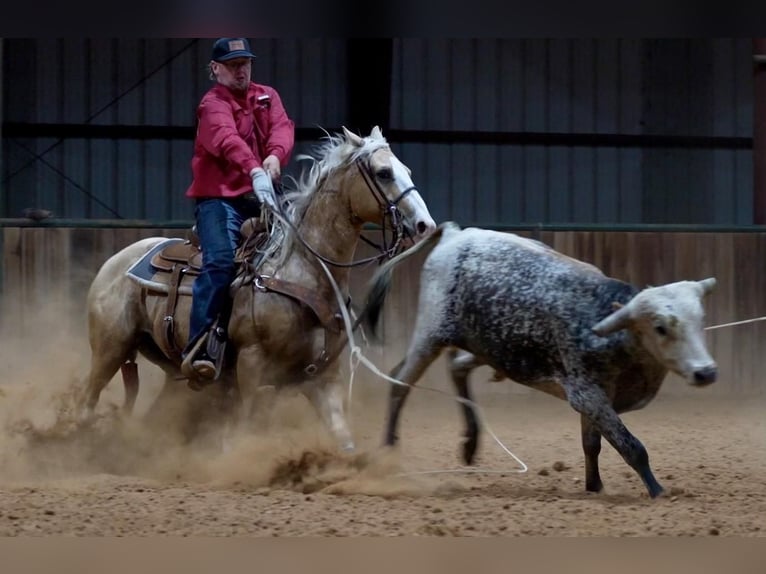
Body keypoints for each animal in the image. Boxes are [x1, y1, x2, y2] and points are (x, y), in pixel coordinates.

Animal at [79, 128, 438, 452]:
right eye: (383, 172)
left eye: (407, 170)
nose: (425, 226)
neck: (304, 273)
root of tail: (114, 262)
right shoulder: (252, 367)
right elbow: (248, 430)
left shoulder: (322, 377)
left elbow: (342, 437)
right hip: (110, 348)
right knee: (88, 401)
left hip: (167, 362)